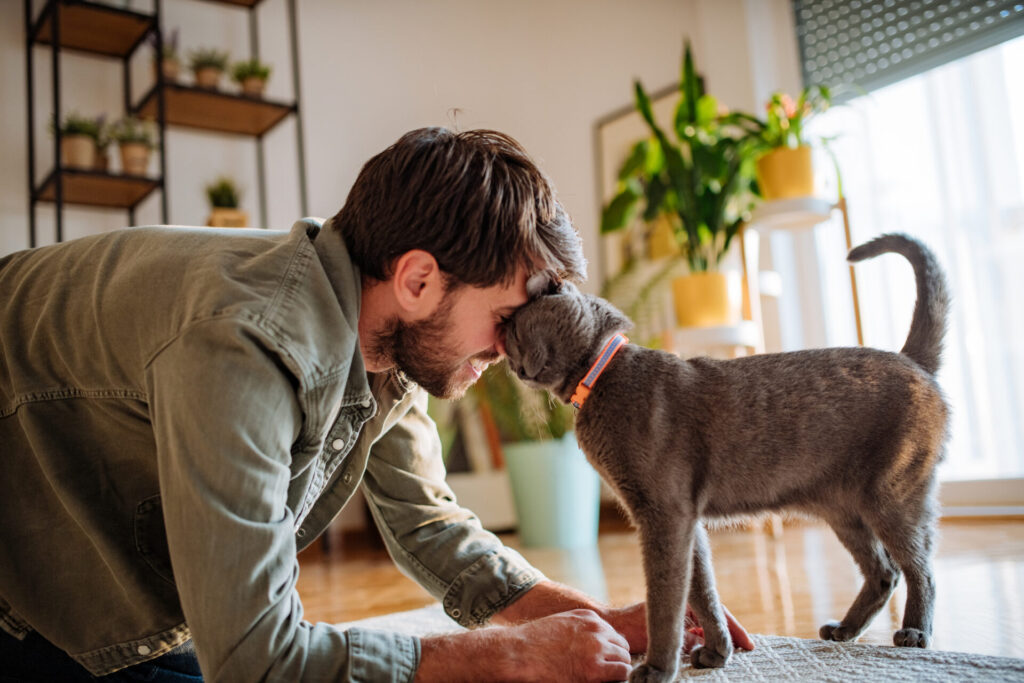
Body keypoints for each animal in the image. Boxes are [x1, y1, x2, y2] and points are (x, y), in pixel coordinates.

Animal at [503, 235, 950, 683]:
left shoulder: (664, 515)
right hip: (842, 510)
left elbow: (666, 598)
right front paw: (718, 651)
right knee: (885, 572)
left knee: (920, 568)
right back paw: (844, 629)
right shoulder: (686, 519)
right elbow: (701, 589)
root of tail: (911, 359)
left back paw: (914, 633)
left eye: (515, 334)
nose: (514, 367)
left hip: (891, 496)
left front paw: (657, 668)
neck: (600, 378)